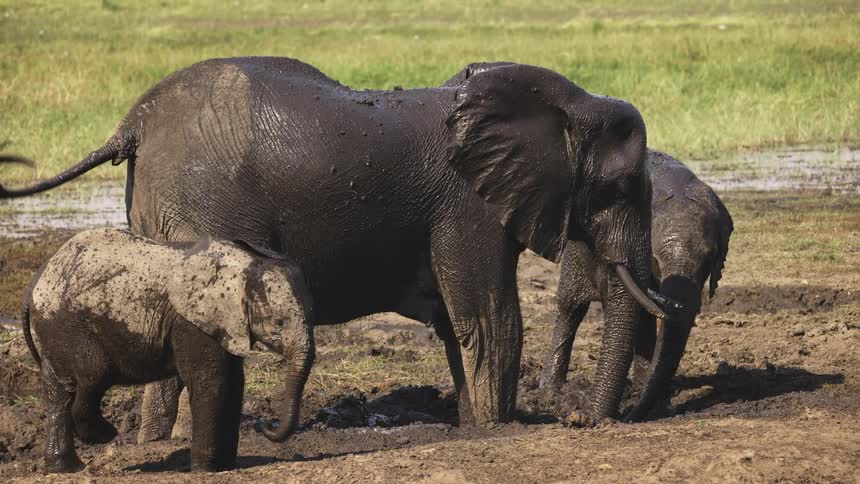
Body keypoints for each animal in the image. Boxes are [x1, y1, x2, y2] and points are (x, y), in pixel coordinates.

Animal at [1, 57, 676, 430]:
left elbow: (458, 326)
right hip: (202, 203)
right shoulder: (470, 206)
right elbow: (487, 321)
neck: (563, 104)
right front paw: (499, 429)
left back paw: (155, 445)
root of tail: (134, 122)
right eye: (619, 187)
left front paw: (473, 425)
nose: (579, 418)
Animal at [22, 228, 315, 473]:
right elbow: (211, 383)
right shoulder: (191, 322)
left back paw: (65, 468)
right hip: (68, 324)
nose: (265, 424)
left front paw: (226, 466)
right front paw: (206, 470)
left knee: (59, 389)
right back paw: (106, 435)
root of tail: (38, 277)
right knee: (92, 375)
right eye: (279, 322)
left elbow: (234, 385)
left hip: (55, 327)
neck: (246, 264)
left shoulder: (223, 324)